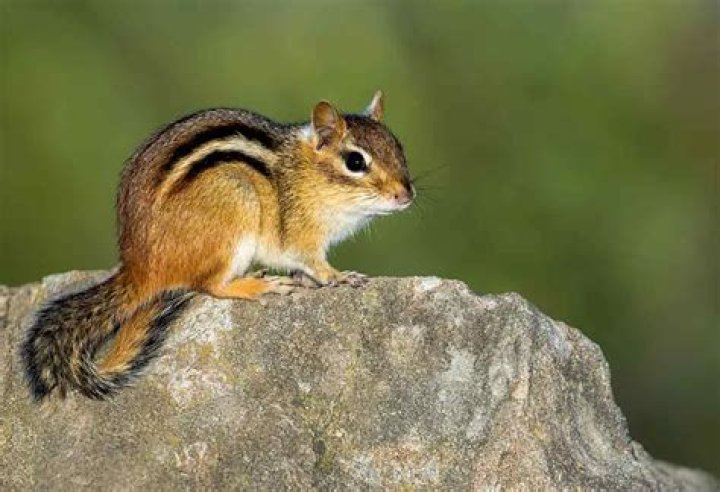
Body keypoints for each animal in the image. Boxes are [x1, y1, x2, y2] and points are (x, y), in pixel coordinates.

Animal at [21, 91, 415, 401]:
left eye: (399, 148)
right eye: (355, 161)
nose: (407, 195)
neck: (307, 174)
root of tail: (140, 268)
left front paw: (309, 279)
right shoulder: (301, 235)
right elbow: (314, 263)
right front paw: (339, 277)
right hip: (235, 205)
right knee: (210, 285)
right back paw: (257, 285)